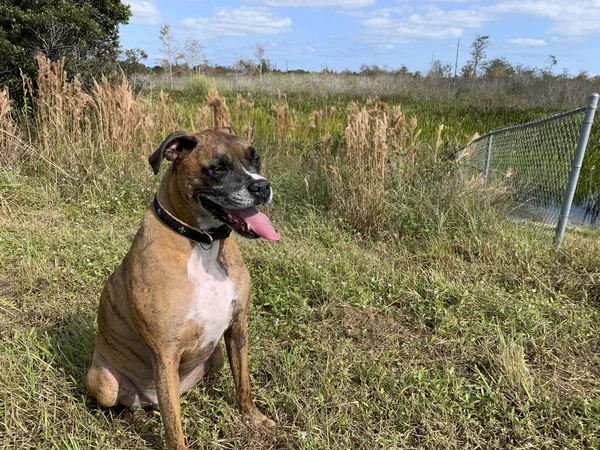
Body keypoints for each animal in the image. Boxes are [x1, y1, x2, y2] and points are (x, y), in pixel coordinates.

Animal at [84, 128, 278, 448]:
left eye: (255, 158)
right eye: (218, 168)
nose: (262, 186)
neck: (202, 243)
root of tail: (147, 402)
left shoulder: (237, 328)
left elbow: (243, 382)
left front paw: (254, 417)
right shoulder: (165, 353)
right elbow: (174, 426)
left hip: (215, 355)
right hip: (103, 381)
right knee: (119, 401)